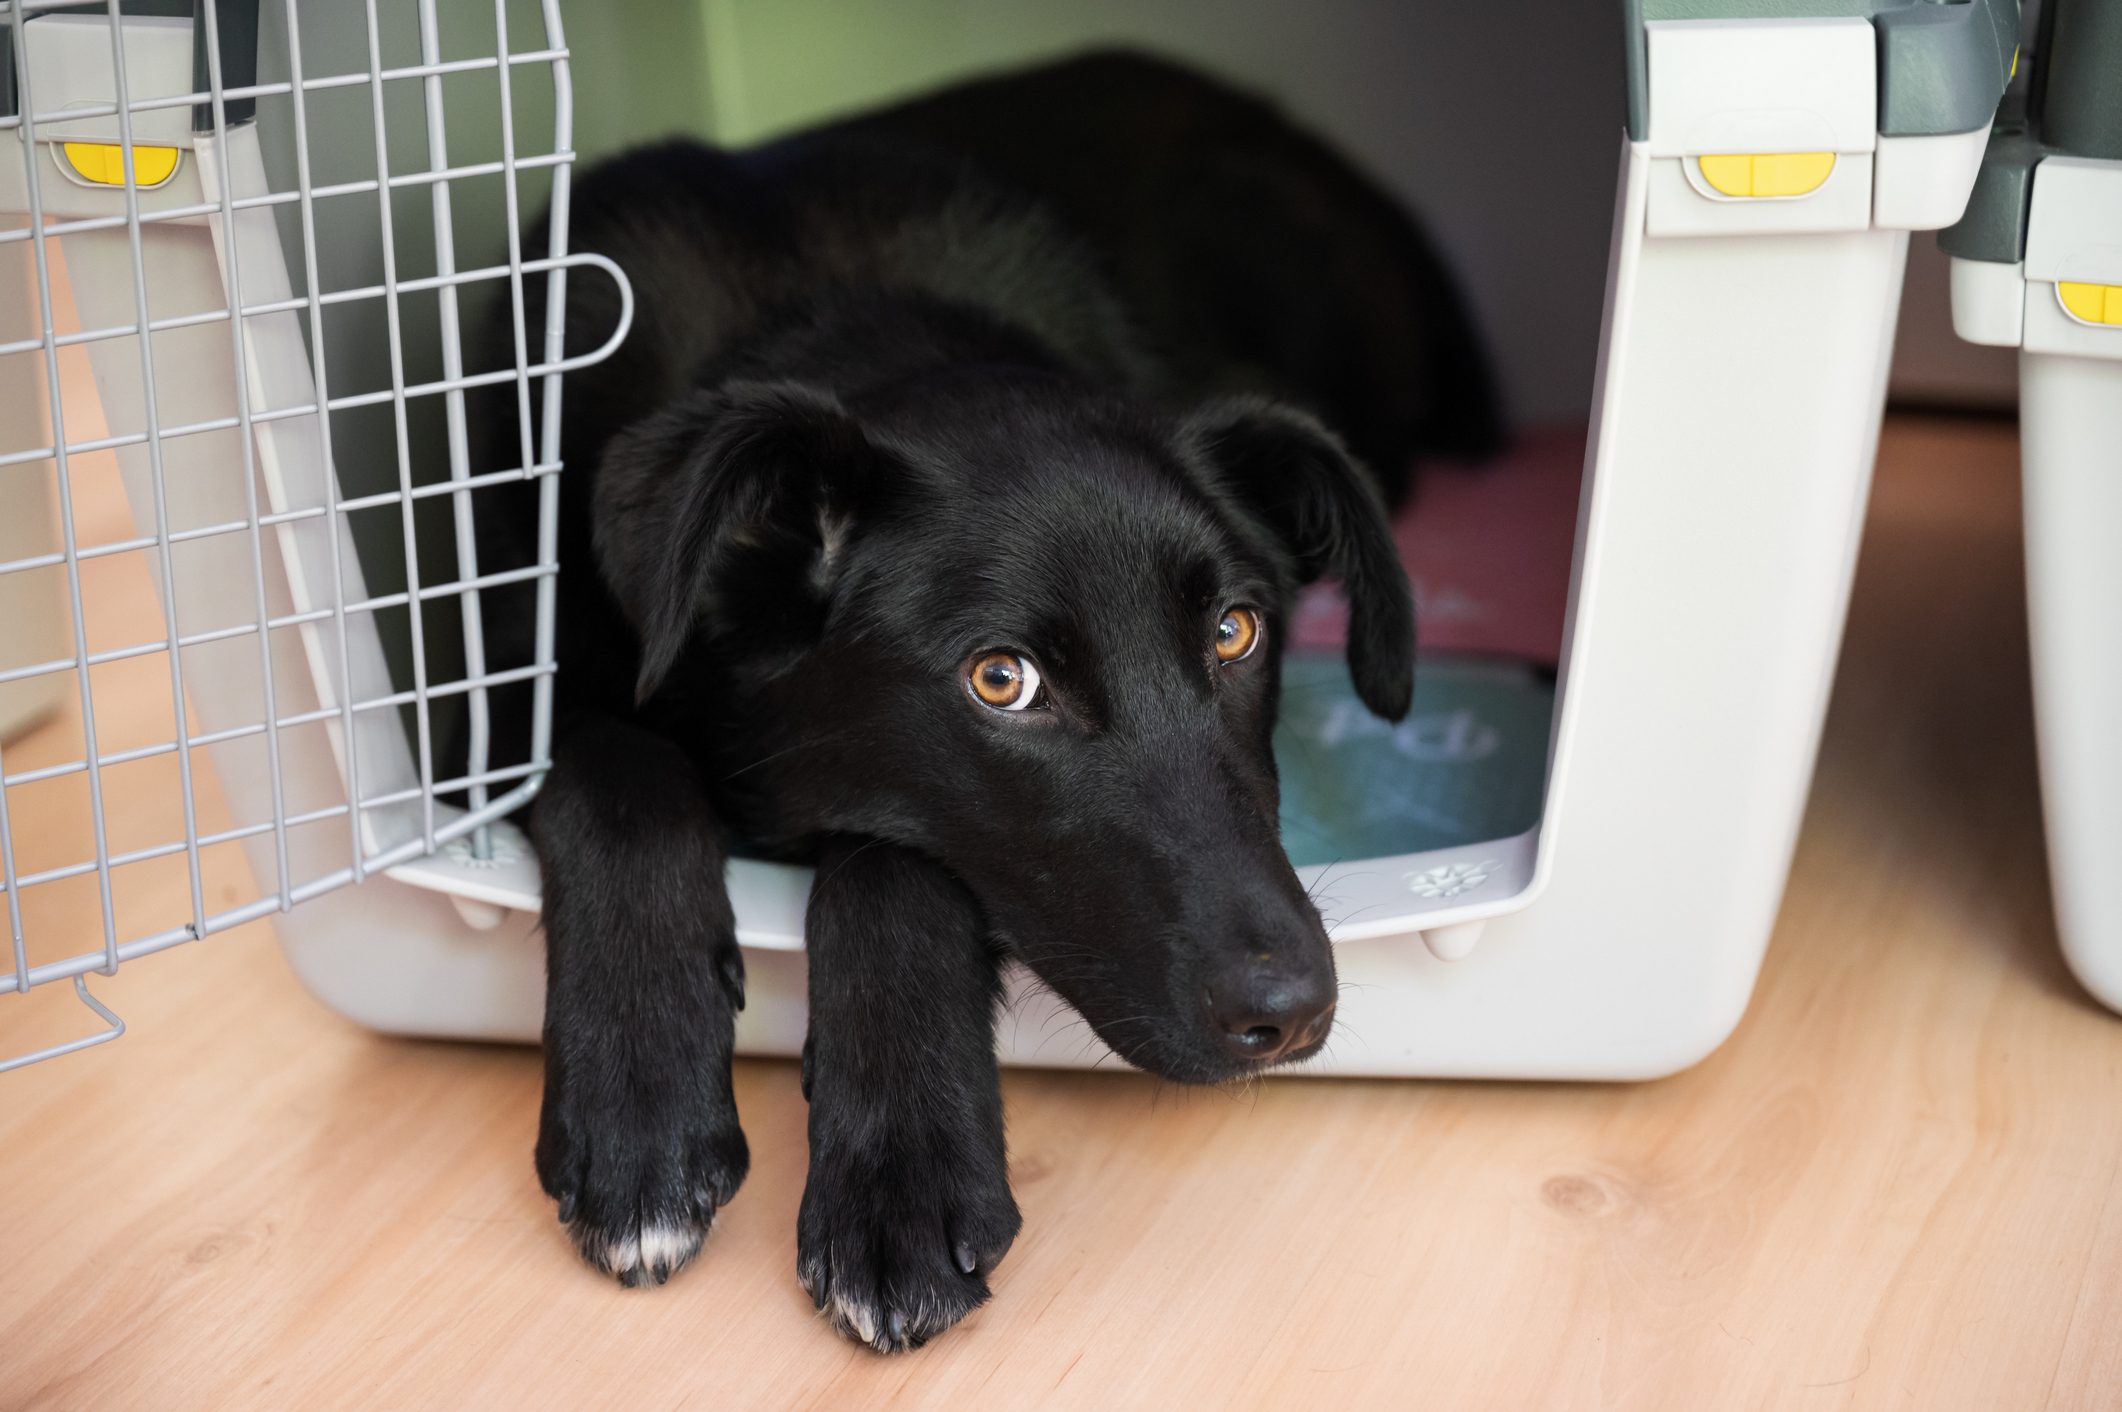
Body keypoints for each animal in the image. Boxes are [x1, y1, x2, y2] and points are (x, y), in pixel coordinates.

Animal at [468, 49, 1493, 1350]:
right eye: (1001, 679)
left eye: (1234, 629)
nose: (1293, 1008)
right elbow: (618, 774)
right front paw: (640, 1099)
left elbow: (896, 864)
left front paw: (901, 1179)